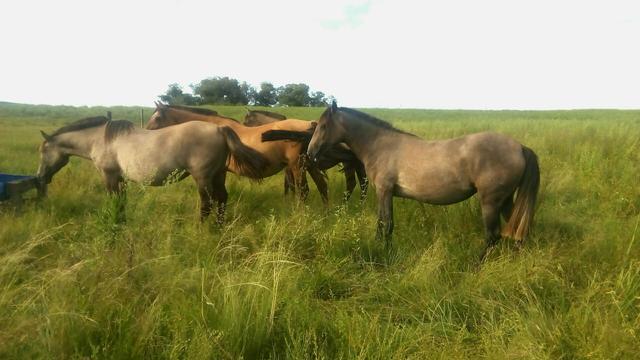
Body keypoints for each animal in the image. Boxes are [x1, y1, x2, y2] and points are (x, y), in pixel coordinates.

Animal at [37, 115, 268, 224]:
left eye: (43, 151)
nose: (40, 177)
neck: (100, 139)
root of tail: (220, 128)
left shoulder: (109, 177)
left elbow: (114, 201)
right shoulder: (121, 179)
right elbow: (121, 202)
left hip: (202, 178)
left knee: (207, 204)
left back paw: (202, 229)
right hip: (218, 175)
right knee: (222, 199)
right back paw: (220, 227)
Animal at [147, 104, 328, 205]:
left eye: (157, 118)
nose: (146, 132)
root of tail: (311, 125)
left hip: (298, 167)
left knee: (303, 192)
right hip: (309, 165)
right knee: (322, 186)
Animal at [304, 102, 540, 258]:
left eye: (323, 126)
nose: (310, 153)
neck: (380, 145)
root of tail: (519, 147)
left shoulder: (384, 191)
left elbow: (387, 223)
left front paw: (385, 252)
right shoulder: (383, 193)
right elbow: (382, 223)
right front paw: (378, 246)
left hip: (490, 202)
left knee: (493, 235)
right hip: (506, 200)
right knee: (519, 229)